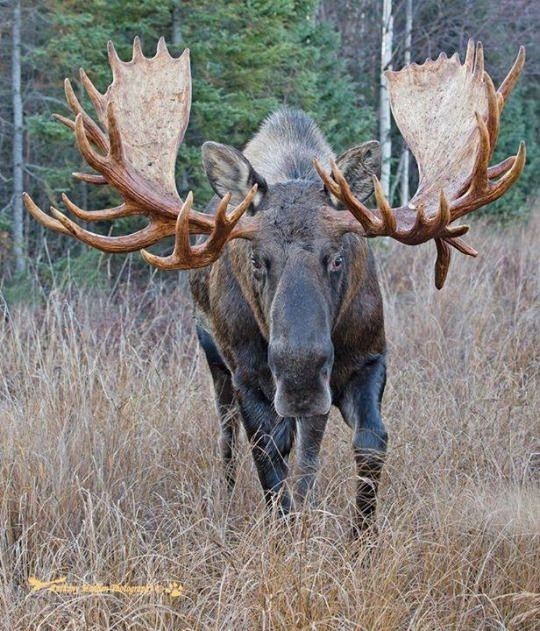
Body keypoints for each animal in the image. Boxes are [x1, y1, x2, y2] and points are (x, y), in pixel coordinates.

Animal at [23, 37, 524, 532]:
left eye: (337, 257)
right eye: (257, 260)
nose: (299, 374)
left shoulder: (369, 356)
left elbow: (369, 442)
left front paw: (359, 535)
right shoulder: (247, 374)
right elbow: (268, 459)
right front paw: (287, 531)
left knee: (309, 440)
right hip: (214, 359)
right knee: (229, 433)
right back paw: (229, 494)